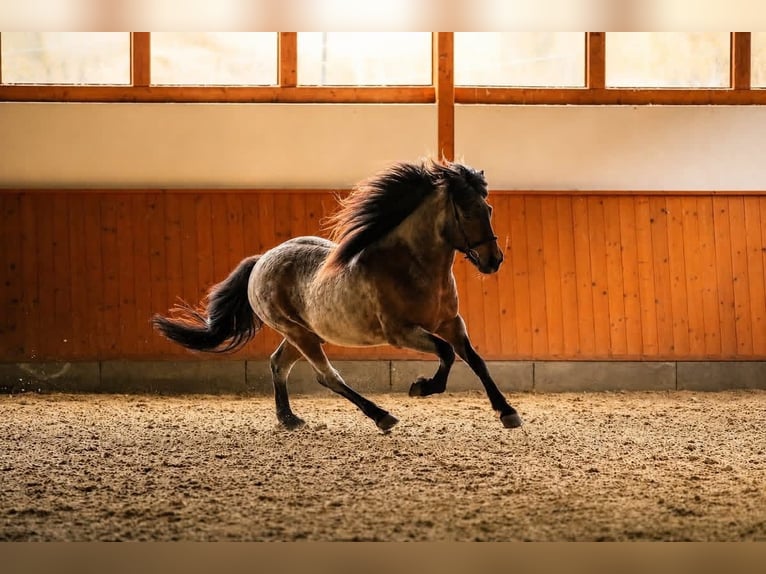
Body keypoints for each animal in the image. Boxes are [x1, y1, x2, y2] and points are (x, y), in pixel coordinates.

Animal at [152, 159, 523, 432]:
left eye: (488, 209)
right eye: (467, 211)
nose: (493, 261)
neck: (413, 265)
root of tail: (261, 261)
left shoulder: (450, 322)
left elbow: (474, 359)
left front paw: (507, 412)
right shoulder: (401, 332)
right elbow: (446, 354)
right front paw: (421, 387)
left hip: (305, 333)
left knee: (278, 364)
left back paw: (289, 419)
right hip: (299, 333)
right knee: (327, 375)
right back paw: (382, 416)